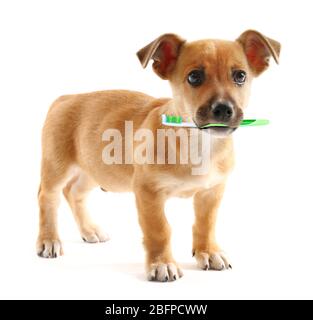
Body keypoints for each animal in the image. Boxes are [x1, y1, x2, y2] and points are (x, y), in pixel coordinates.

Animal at [37, 29, 280, 280]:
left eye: (240, 76)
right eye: (194, 77)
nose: (223, 109)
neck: (199, 142)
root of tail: (66, 97)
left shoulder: (211, 192)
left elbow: (206, 224)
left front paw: (208, 251)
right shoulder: (148, 193)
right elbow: (160, 230)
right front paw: (162, 263)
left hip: (95, 170)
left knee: (73, 192)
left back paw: (89, 229)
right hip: (57, 168)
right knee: (48, 198)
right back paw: (49, 240)